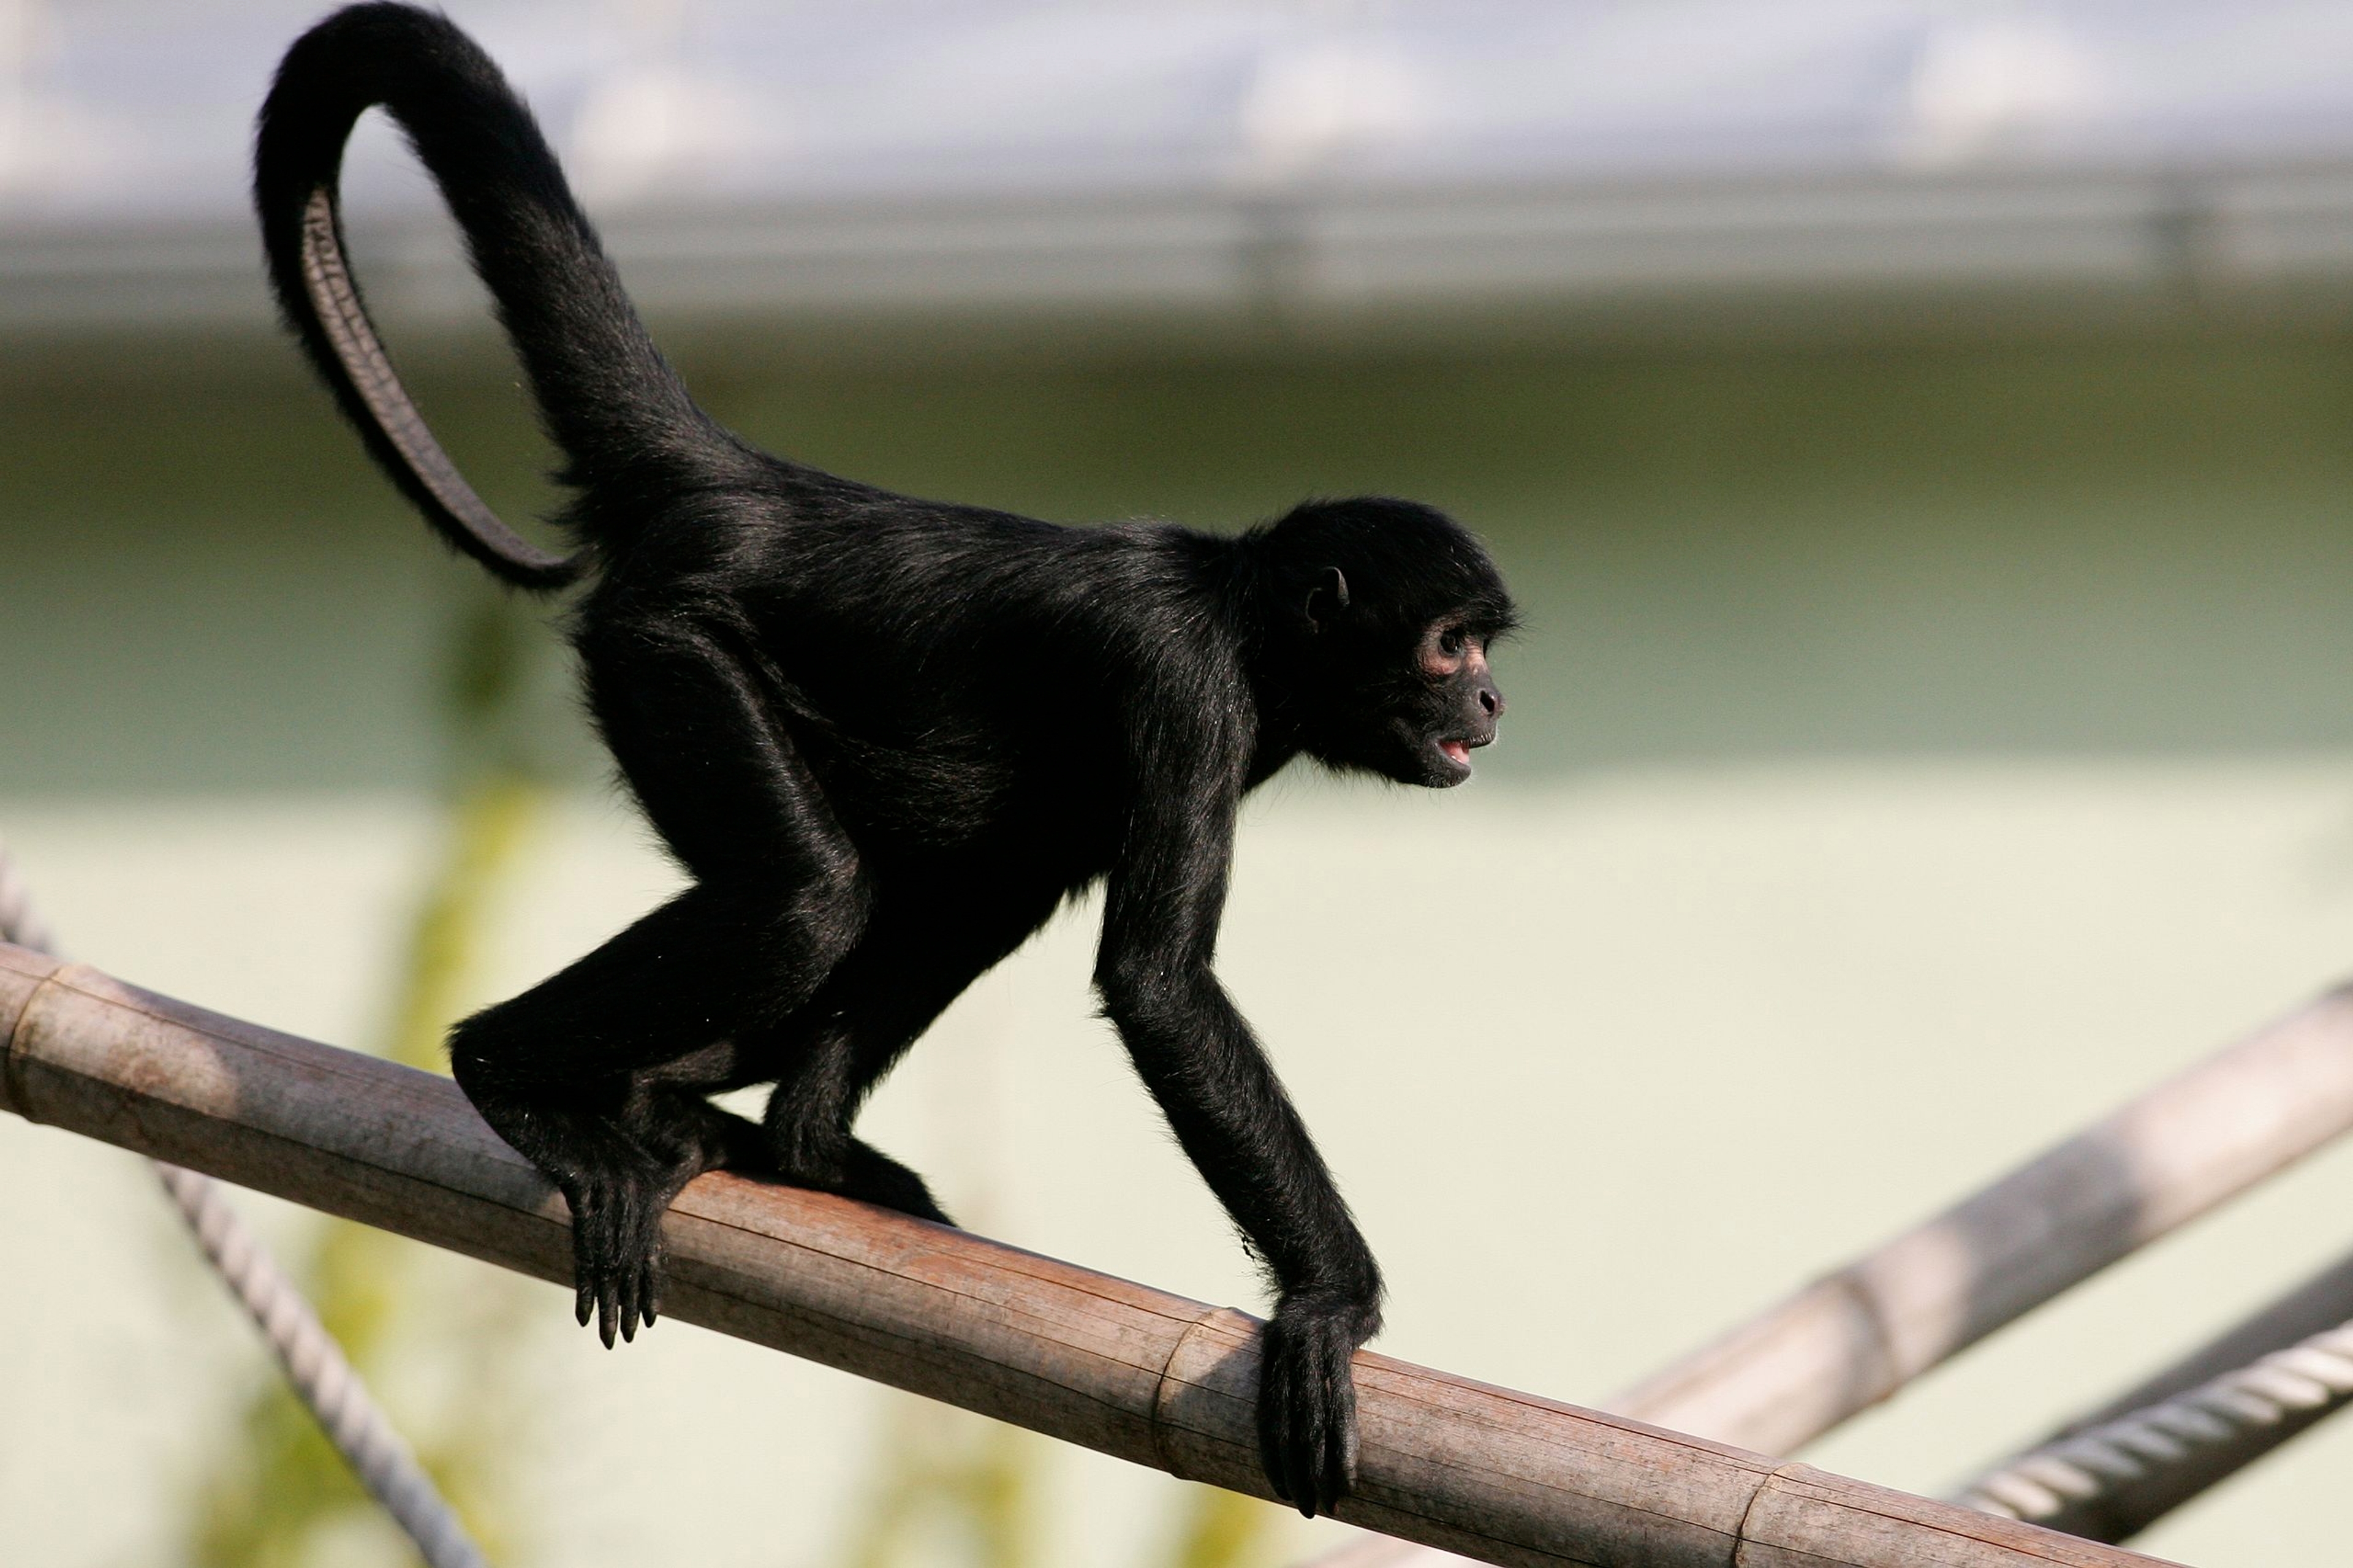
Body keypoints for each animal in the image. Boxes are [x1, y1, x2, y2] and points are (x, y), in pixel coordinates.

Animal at [252, 2, 1506, 1516]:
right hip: (669, 650)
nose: (1492, 696)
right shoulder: (1184, 686)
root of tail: (756, 485)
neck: (1238, 619)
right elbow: (1157, 983)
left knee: (970, 879)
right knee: (810, 894)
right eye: (1447, 642)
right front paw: (1333, 1304)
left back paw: (760, 1130)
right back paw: (513, 1074)